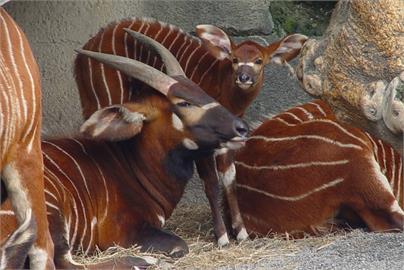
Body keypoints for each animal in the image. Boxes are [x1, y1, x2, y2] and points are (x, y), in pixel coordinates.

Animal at [1, 30, 248, 268]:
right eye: (183, 102)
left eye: (200, 91)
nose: (241, 128)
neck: (130, 164)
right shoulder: (124, 234)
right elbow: (180, 246)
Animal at [72, 16, 306, 245]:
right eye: (234, 59)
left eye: (259, 60)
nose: (244, 78)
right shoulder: (203, 147)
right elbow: (211, 183)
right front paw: (222, 237)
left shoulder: (225, 144)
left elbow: (230, 180)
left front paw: (241, 233)